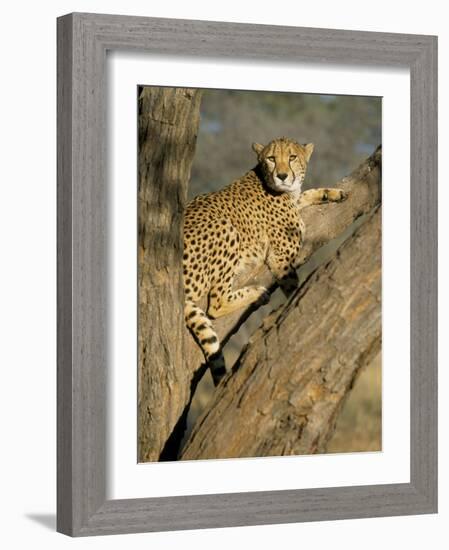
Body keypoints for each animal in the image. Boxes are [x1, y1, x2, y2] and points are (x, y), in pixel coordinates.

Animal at [182, 137, 346, 388]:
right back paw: (257, 293)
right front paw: (295, 306)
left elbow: (306, 194)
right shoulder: (280, 257)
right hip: (226, 227)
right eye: (271, 158)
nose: (282, 176)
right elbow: (293, 285)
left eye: (292, 157)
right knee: (216, 303)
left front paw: (333, 193)